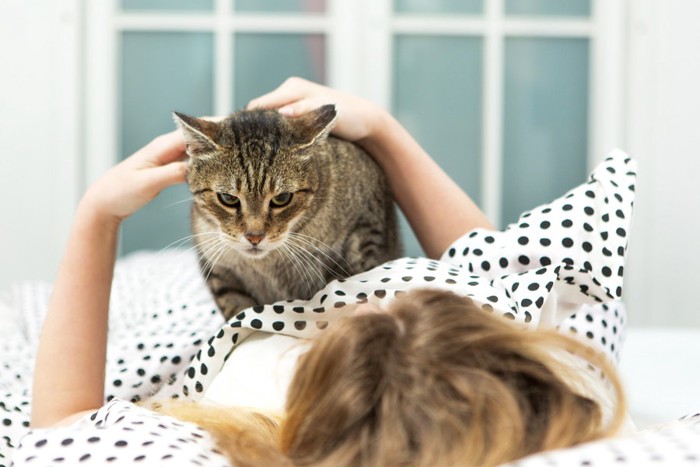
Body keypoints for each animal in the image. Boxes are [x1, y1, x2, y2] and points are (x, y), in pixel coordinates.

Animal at [173, 104, 402, 320]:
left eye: (282, 198)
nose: (254, 237)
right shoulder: (220, 272)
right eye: (228, 198)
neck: (267, 263)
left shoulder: (366, 231)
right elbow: (239, 312)